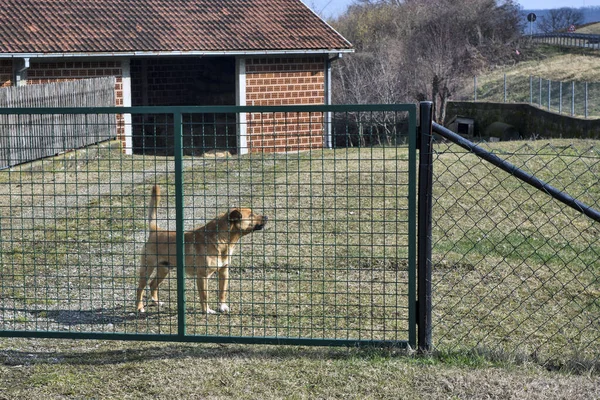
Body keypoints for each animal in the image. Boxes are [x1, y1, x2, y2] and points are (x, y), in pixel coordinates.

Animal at [137, 186, 268, 314]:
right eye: (251, 215)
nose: (266, 216)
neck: (221, 240)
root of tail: (155, 230)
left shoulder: (224, 271)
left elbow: (222, 292)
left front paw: (222, 307)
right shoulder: (202, 277)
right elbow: (205, 296)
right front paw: (207, 311)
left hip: (164, 269)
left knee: (153, 284)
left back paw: (156, 302)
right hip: (147, 268)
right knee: (140, 288)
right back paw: (140, 308)